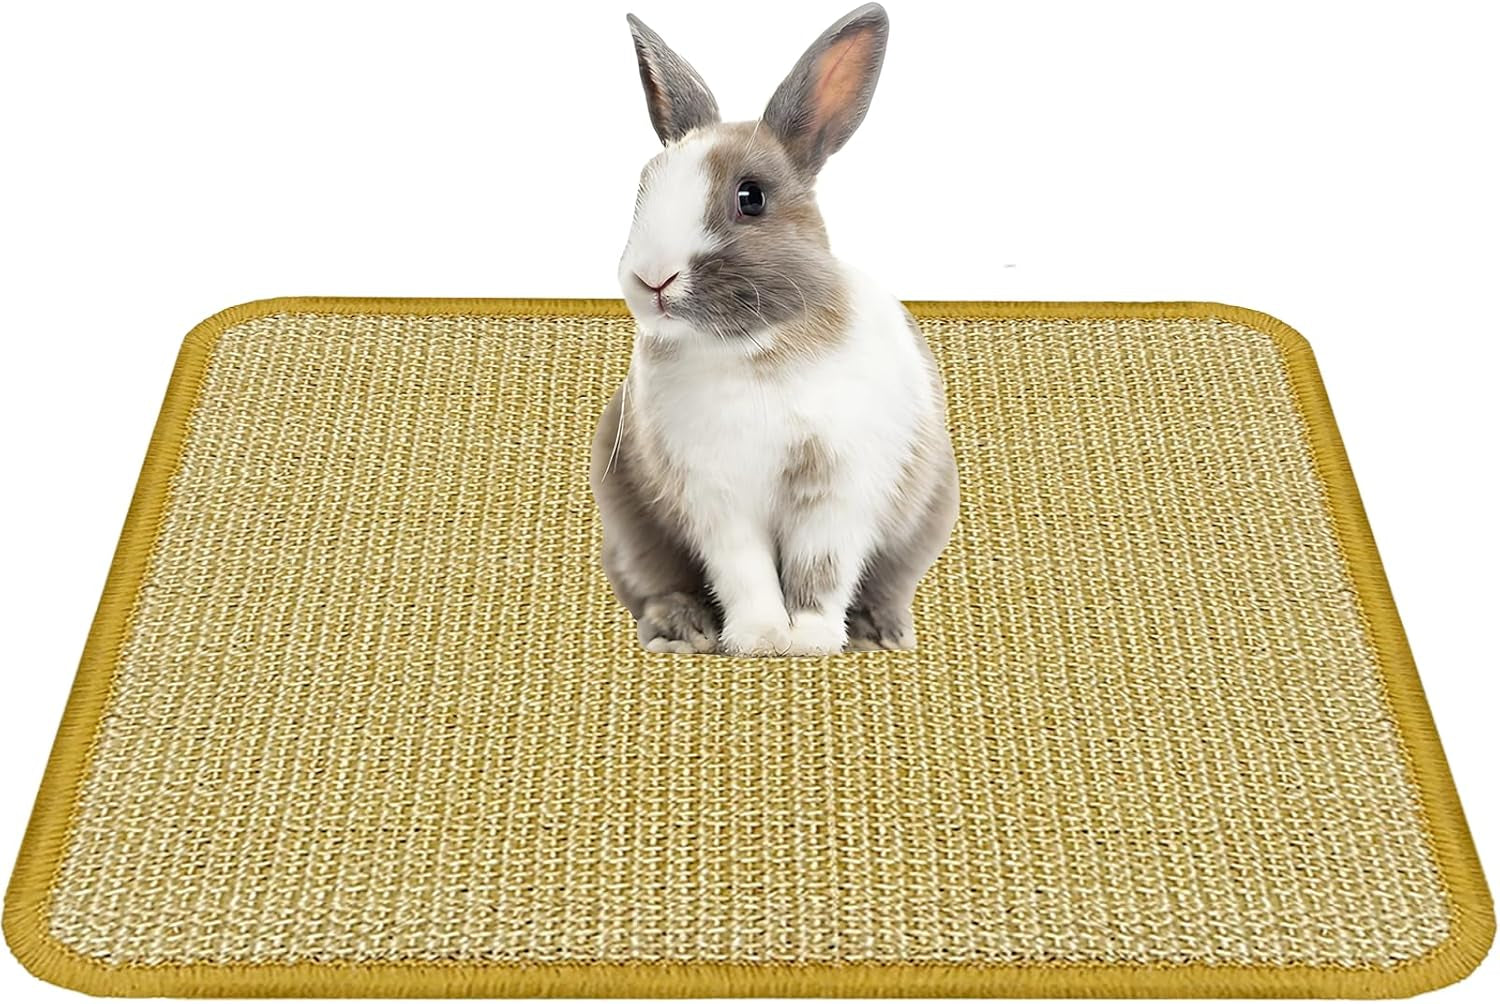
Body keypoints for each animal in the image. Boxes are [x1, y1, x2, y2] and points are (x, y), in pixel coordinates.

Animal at [590, 2, 958, 656]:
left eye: (751, 197)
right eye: (643, 189)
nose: (652, 278)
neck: (753, 349)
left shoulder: (837, 489)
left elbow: (821, 570)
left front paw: (808, 639)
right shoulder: (716, 497)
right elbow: (745, 570)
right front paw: (761, 637)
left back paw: (879, 634)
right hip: (630, 528)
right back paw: (682, 632)